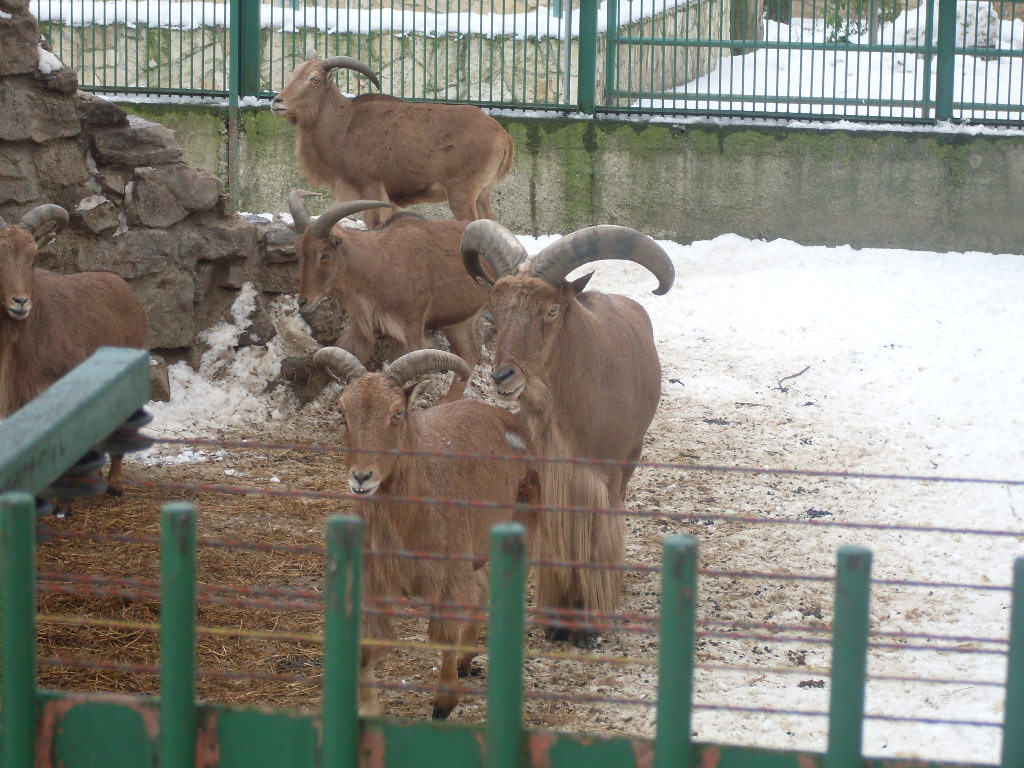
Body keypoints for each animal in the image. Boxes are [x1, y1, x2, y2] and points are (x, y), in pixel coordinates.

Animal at [271, 53, 515, 228]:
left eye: (314, 79)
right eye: (294, 74)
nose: (277, 101)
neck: (345, 124)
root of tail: (503, 136)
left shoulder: (371, 186)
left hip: (462, 193)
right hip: (482, 194)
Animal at [290, 191, 488, 400]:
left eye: (325, 254)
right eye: (298, 252)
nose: (303, 302)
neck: (381, 263)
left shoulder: (411, 328)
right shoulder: (362, 328)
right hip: (457, 323)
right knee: (469, 354)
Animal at [313, 345, 538, 720]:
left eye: (397, 412)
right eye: (343, 411)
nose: (361, 477)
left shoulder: (448, 576)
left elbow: (444, 634)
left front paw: (443, 704)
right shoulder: (376, 581)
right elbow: (367, 646)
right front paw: (370, 710)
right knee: (481, 589)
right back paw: (466, 661)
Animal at [461, 221, 675, 647]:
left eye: (552, 309)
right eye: (497, 309)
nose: (503, 376)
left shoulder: (602, 480)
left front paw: (589, 623)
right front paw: (557, 620)